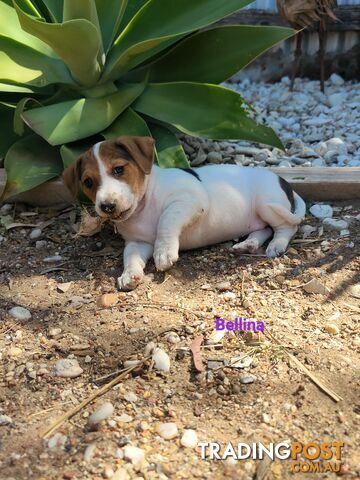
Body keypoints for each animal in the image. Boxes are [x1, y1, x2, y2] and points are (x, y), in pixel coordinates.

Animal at [63, 137, 306, 290]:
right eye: (88, 182)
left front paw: (164, 252)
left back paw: (277, 245)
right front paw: (129, 274)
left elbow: (166, 220)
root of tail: (283, 180)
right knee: (262, 229)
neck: (143, 206)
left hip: (267, 204)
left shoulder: (189, 200)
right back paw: (248, 244)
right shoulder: (138, 243)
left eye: (118, 170)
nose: (107, 206)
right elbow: (129, 256)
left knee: (287, 227)